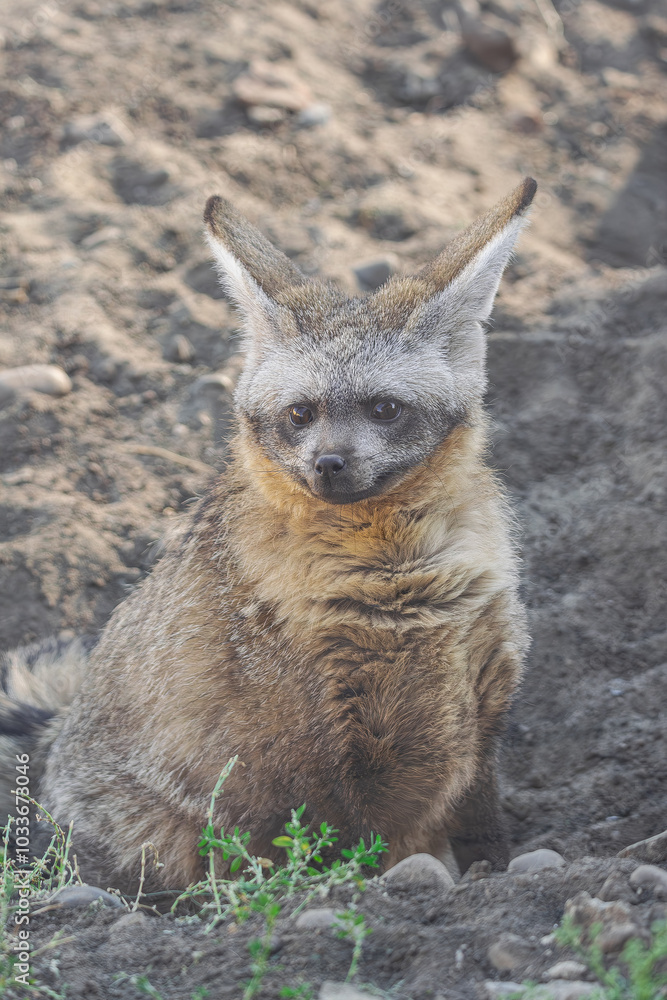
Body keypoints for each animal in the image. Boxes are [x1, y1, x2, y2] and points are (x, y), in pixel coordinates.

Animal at [0, 178, 535, 894]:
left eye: (385, 408)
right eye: (300, 413)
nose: (329, 465)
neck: (401, 582)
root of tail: (59, 732)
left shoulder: (485, 701)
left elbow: (482, 829)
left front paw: (494, 876)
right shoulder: (317, 750)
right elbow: (354, 848)